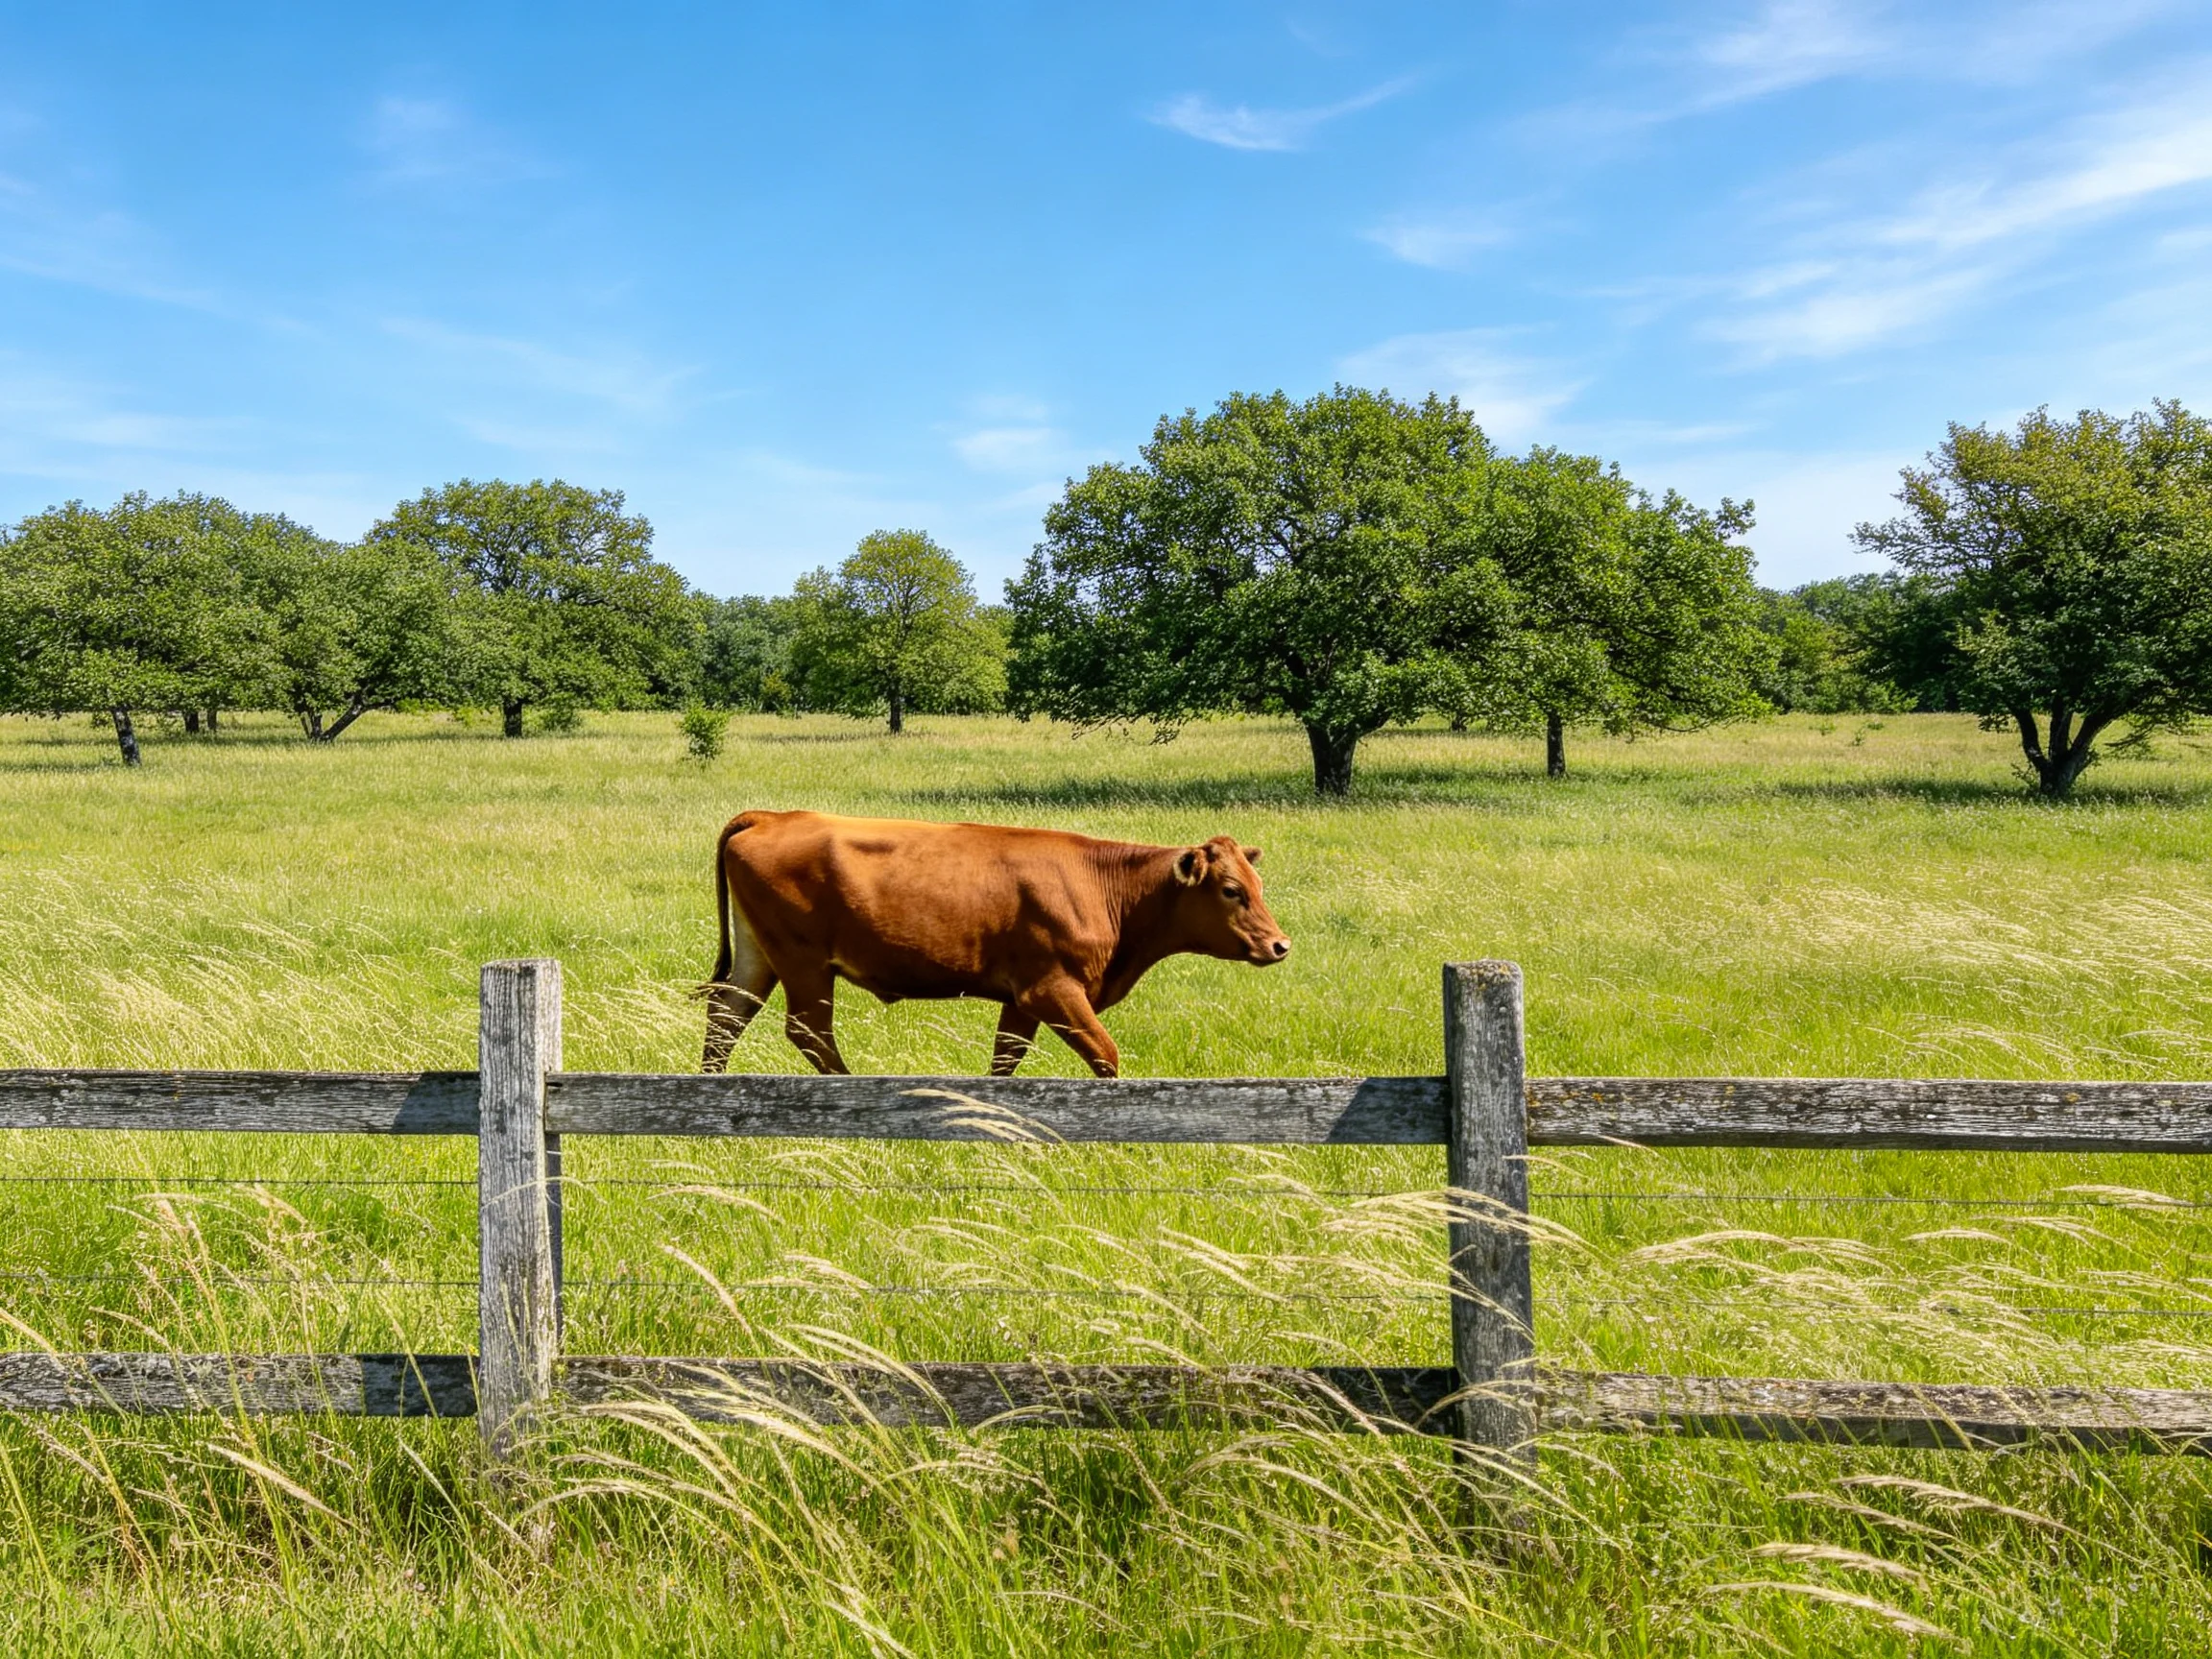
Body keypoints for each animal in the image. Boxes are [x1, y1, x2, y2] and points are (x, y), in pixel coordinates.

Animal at [699, 810, 1290, 1078]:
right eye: (1231, 889)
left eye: (1259, 884)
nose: (1280, 945)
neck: (1102, 887)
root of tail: (773, 816)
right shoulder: (1053, 991)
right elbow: (1106, 1055)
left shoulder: (1020, 1000)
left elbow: (1005, 1061)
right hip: (804, 962)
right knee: (808, 1031)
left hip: (760, 956)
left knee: (726, 1015)